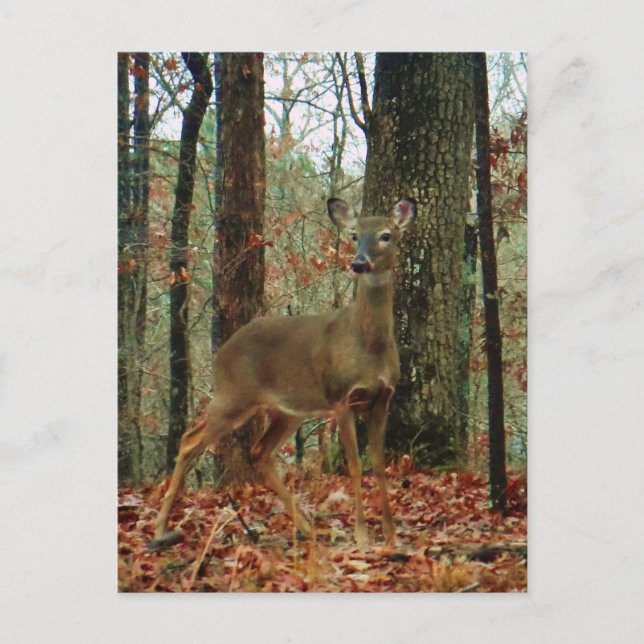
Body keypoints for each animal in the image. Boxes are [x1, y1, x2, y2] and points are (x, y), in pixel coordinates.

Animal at [149, 196, 417, 551]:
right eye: (354, 235)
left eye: (386, 235)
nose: (359, 264)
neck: (369, 346)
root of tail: (221, 352)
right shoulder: (340, 398)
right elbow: (356, 466)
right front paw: (362, 536)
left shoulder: (382, 399)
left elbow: (379, 464)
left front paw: (391, 535)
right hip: (234, 396)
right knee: (189, 440)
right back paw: (161, 527)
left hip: (287, 410)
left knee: (259, 452)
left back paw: (307, 526)